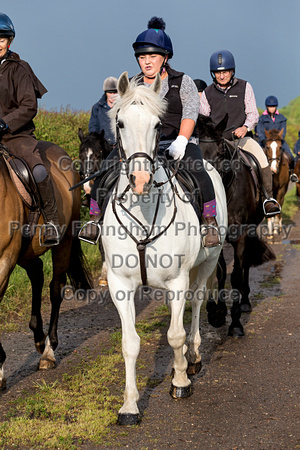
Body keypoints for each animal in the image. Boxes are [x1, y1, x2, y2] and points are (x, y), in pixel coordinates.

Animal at [0, 142, 92, 390]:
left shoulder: (4, 260)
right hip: (26, 251)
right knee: (37, 273)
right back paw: (39, 338)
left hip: (64, 241)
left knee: (55, 288)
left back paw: (48, 351)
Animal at [196, 114, 276, 336]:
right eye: (198, 151)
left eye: (221, 150)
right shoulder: (217, 237)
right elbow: (221, 272)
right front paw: (218, 313)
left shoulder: (240, 235)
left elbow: (236, 276)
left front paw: (236, 322)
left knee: (246, 264)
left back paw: (246, 302)